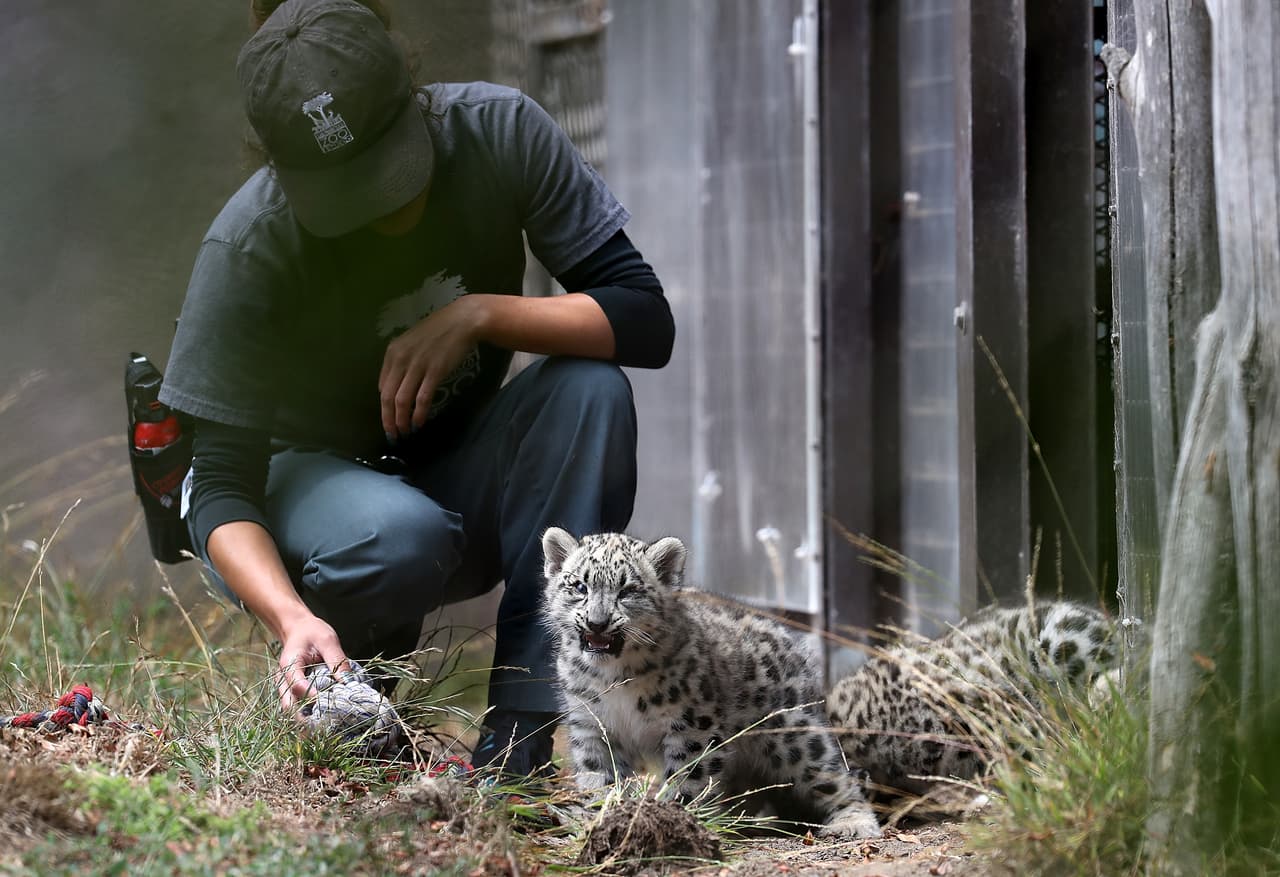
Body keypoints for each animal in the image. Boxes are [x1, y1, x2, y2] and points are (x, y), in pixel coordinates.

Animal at [540, 528, 881, 839]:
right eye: (579, 586)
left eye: (627, 591)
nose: (597, 622)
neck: (612, 676)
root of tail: (795, 647)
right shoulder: (592, 725)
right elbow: (599, 775)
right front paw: (601, 816)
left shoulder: (691, 726)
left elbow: (687, 778)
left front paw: (676, 816)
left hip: (797, 737)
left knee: (835, 777)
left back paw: (853, 822)